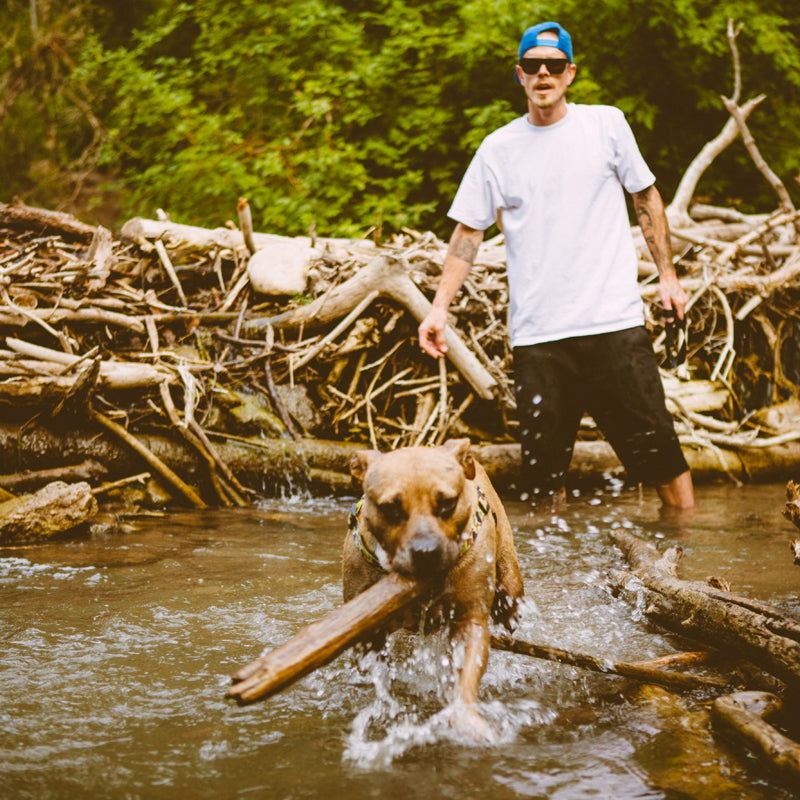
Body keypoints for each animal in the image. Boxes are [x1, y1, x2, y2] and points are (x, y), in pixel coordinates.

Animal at [344, 438, 524, 736]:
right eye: (390, 508)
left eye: (448, 503)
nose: (426, 550)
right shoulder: (366, 632)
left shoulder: (469, 621)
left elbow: (466, 671)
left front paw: (464, 715)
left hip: (509, 570)